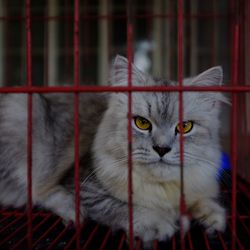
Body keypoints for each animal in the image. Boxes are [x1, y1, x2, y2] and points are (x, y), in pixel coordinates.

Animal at [0, 55, 227, 248]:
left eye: (185, 127)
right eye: (142, 123)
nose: (162, 148)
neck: (163, 190)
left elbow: (203, 202)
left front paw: (211, 218)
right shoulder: (84, 186)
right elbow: (123, 207)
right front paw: (161, 223)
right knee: (39, 193)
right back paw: (74, 213)